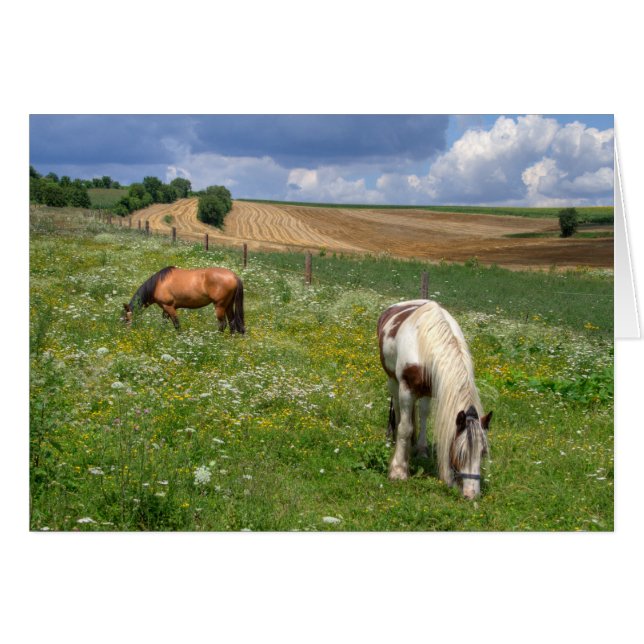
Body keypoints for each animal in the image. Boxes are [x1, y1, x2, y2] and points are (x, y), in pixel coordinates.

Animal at [377, 300, 492, 499]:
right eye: (460, 453)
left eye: (483, 452)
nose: (471, 494)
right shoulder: (406, 389)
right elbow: (405, 428)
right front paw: (398, 470)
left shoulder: (433, 389)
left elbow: (423, 419)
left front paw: (421, 452)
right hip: (393, 381)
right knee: (398, 409)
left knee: (422, 414)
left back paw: (420, 449)